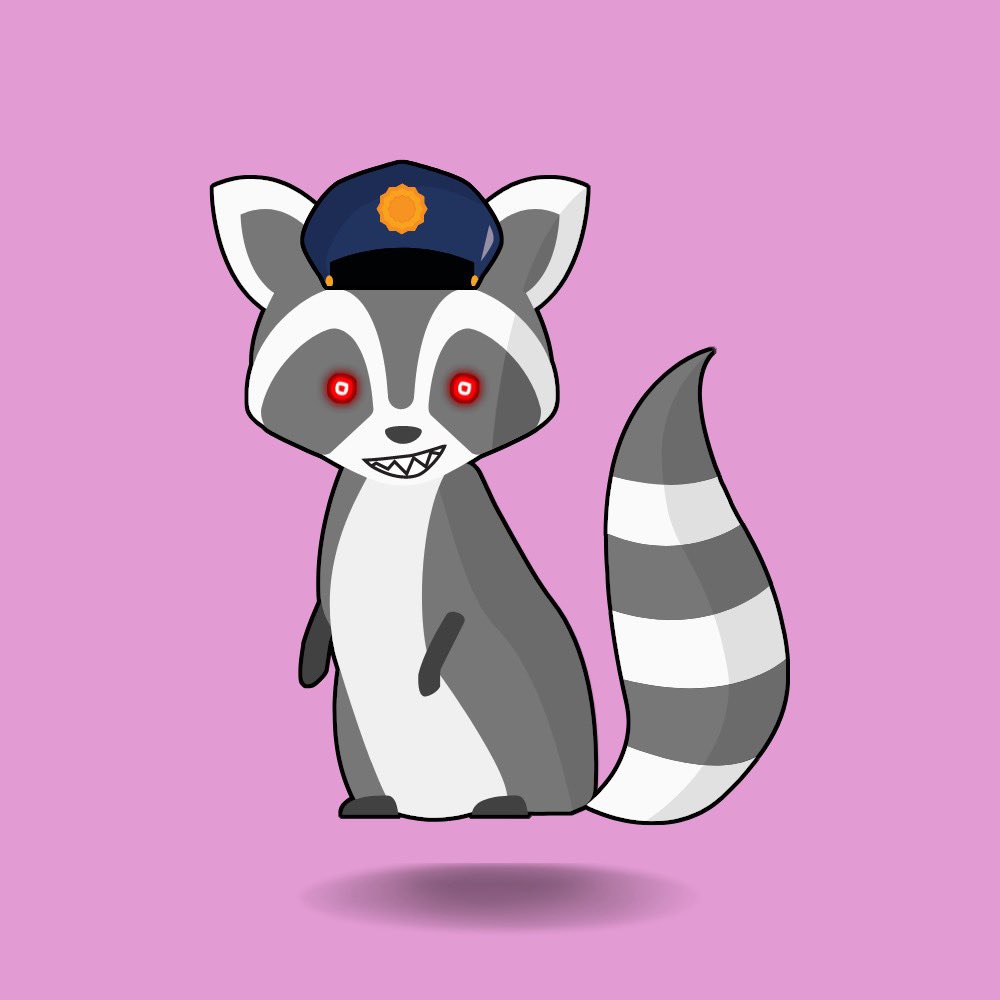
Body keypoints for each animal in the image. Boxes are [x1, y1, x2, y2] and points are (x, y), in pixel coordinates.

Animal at [211, 167, 788, 822]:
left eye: (465, 387)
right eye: (340, 387)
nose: (403, 434)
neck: (398, 499)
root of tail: (578, 795)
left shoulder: (460, 557)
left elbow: (460, 619)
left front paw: (426, 669)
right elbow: (321, 608)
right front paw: (311, 656)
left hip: (520, 741)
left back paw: (503, 803)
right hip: (354, 735)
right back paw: (377, 803)